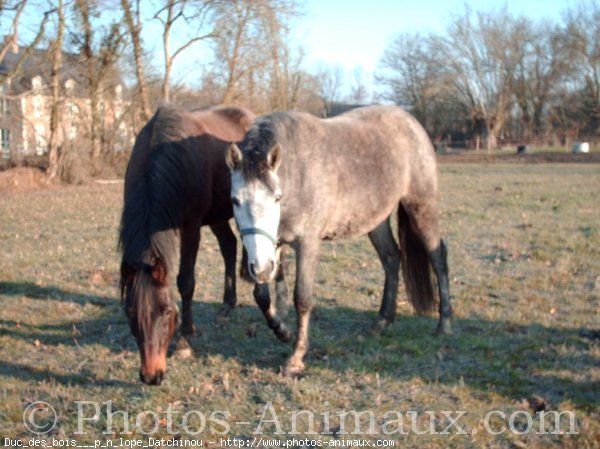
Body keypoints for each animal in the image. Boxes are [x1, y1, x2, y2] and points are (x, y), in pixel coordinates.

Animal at [119, 103, 262, 384]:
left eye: (166, 311)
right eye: (130, 313)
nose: (152, 375)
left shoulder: (191, 227)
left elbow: (186, 281)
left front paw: (185, 340)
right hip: (217, 214)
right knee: (229, 246)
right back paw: (227, 305)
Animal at [227, 104, 452, 374]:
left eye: (276, 198)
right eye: (235, 200)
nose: (259, 268)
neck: (295, 172)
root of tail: (412, 123)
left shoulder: (307, 244)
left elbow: (302, 298)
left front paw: (296, 358)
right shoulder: (272, 245)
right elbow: (261, 296)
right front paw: (283, 332)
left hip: (421, 207)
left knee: (438, 259)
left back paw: (444, 324)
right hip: (376, 221)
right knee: (391, 258)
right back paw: (382, 321)